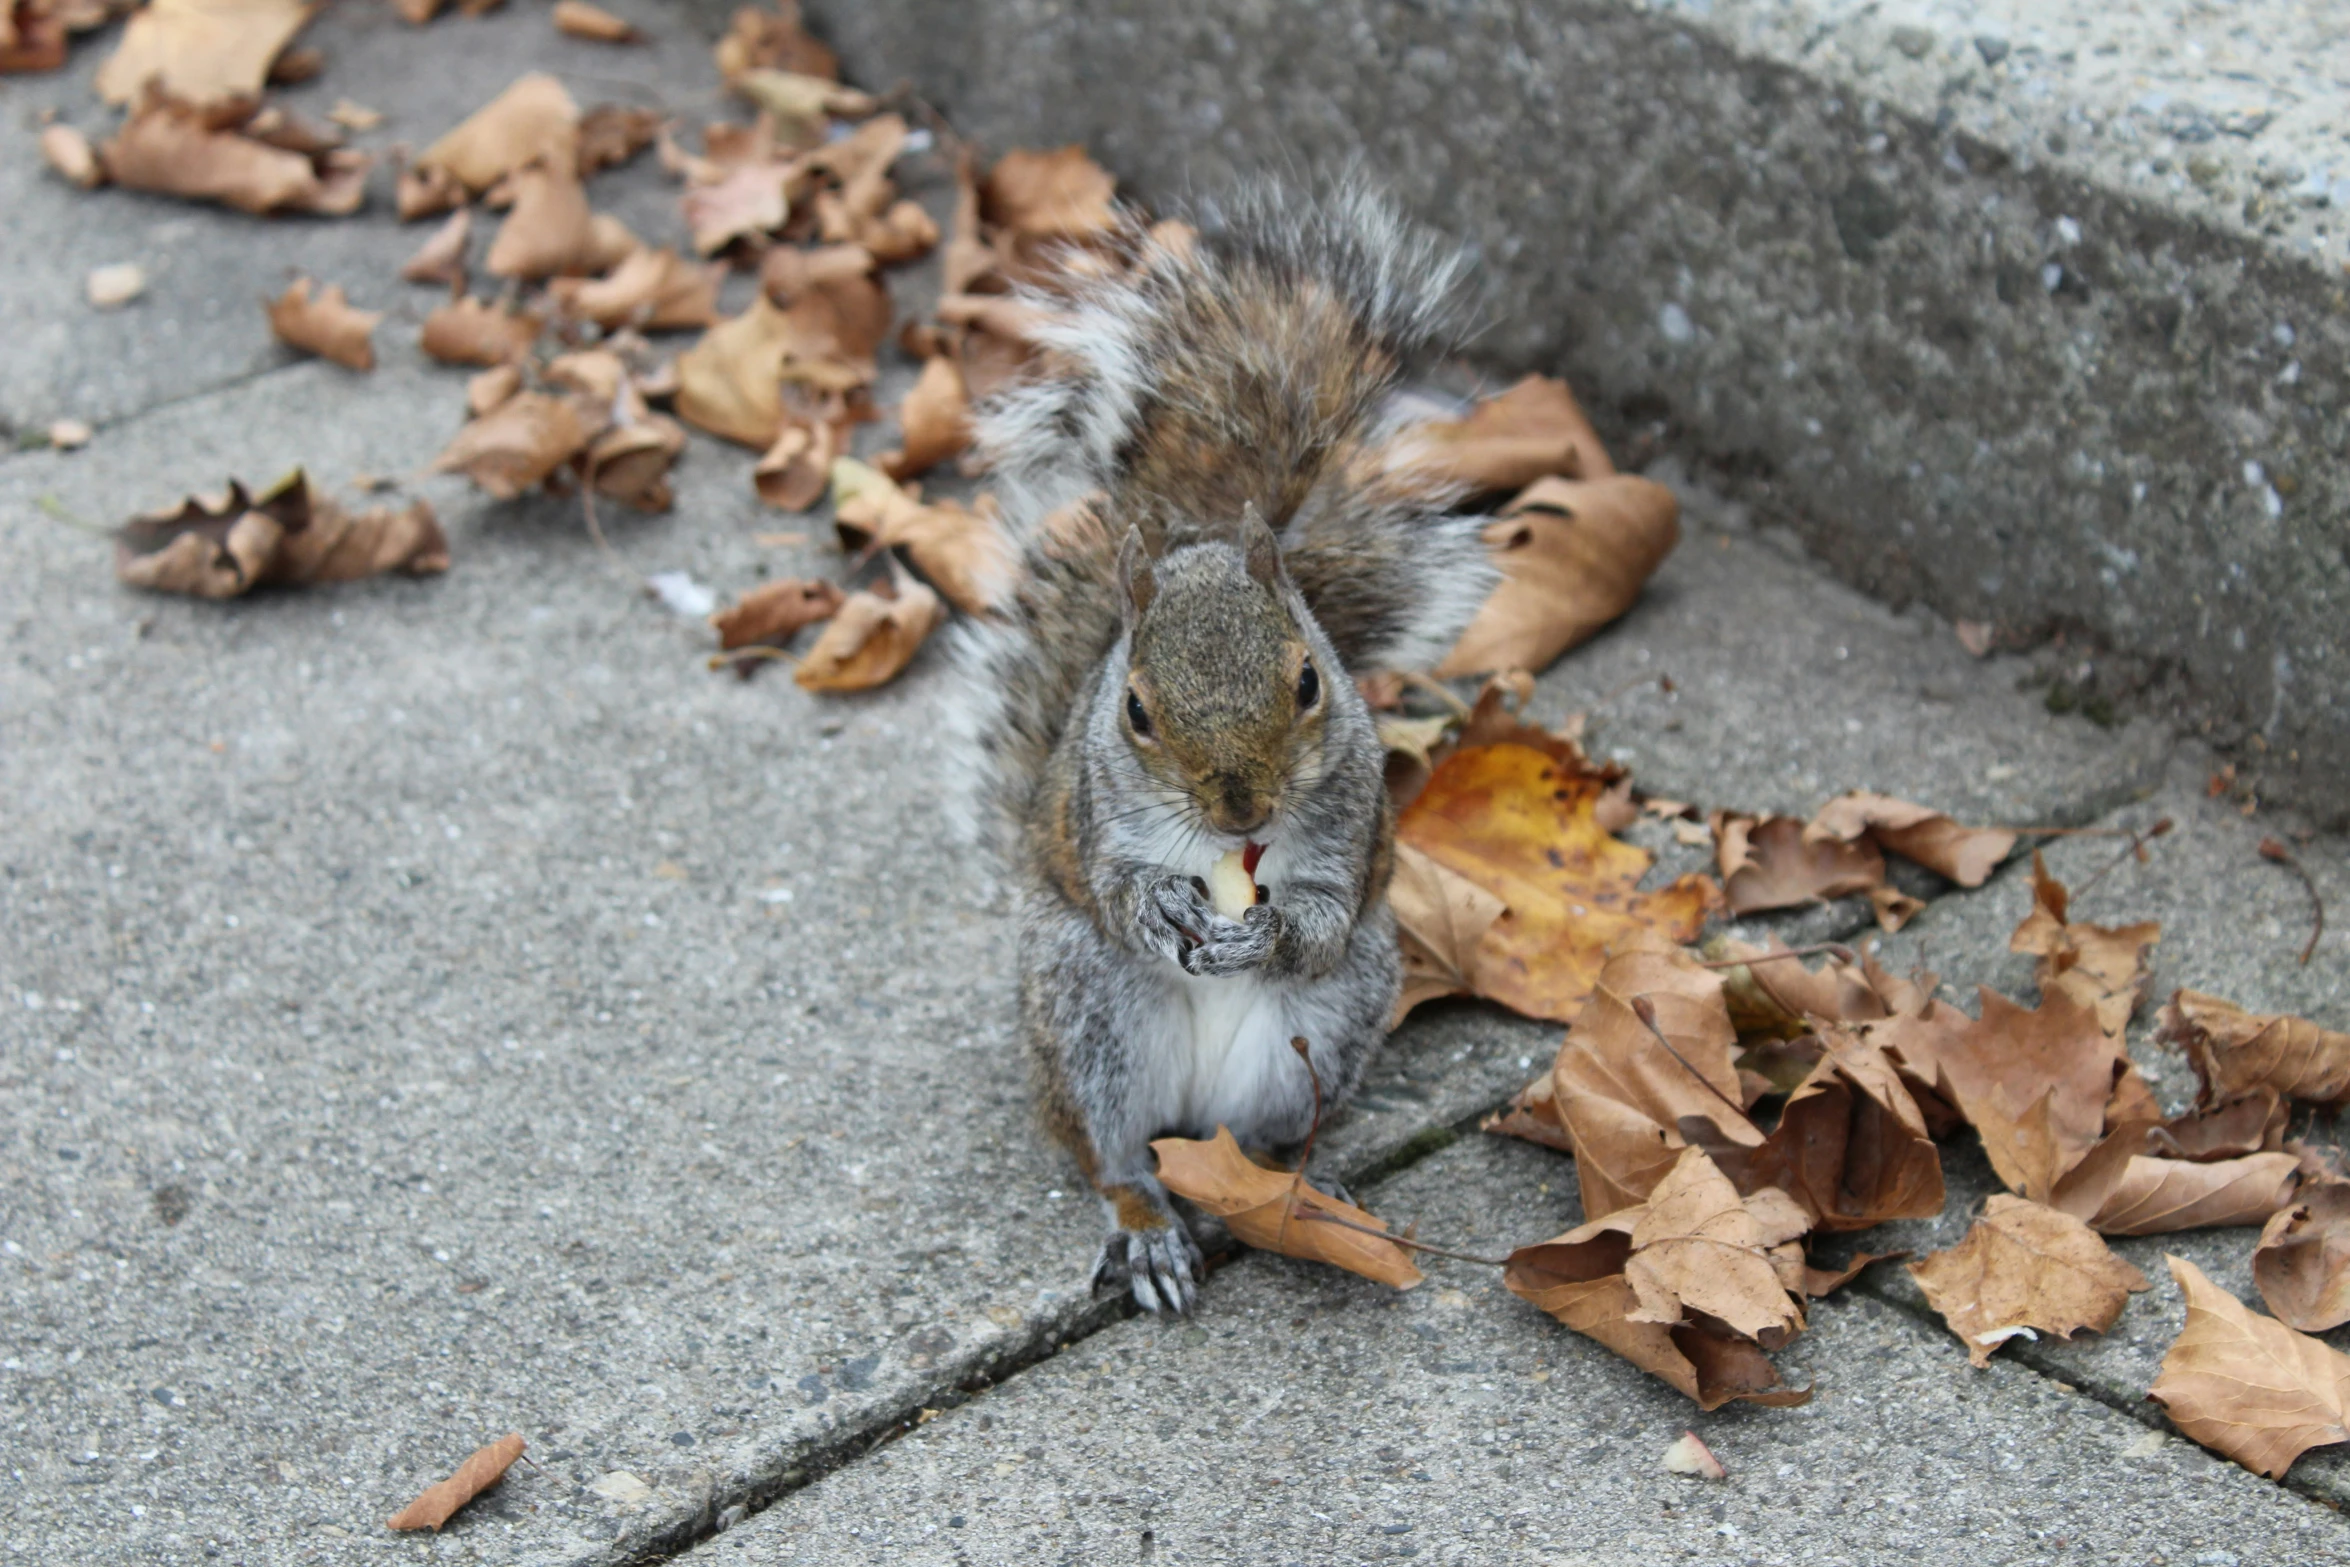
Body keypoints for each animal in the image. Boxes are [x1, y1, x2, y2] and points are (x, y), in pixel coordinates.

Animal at [944, 177, 1494, 1315]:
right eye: (1135, 710)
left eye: (1310, 679)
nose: (1242, 805)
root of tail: (1194, 1121)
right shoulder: (1094, 820)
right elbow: (1115, 887)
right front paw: (1160, 904)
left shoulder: (1352, 828)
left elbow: (1319, 919)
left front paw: (1266, 930)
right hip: (1083, 1009)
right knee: (1112, 1153)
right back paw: (1151, 1225)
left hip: (1330, 1021)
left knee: (1272, 1127)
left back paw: (1299, 1187)